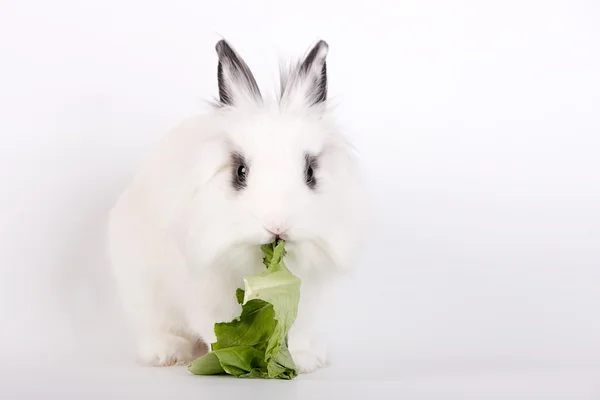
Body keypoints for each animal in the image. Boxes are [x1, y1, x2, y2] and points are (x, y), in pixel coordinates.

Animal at [108, 39, 368, 374]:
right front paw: (226, 354)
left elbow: (299, 332)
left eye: (310, 172)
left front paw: (303, 361)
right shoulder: (203, 295)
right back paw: (168, 353)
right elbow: (212, 327)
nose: (277, 227)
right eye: (240, 171)